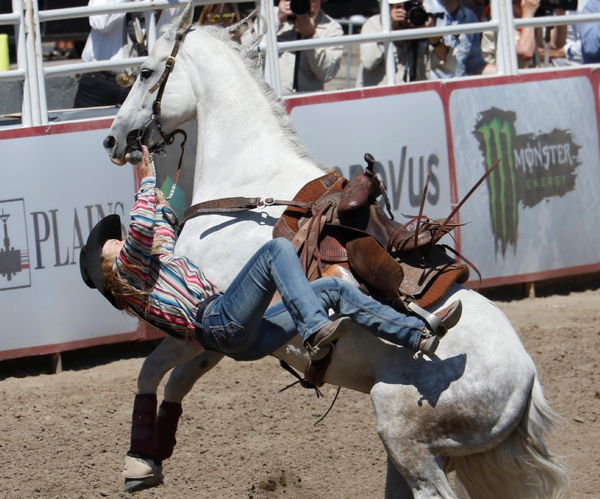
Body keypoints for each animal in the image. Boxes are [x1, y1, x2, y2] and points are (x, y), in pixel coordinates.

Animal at [102, 4, 568, 499]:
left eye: (145, 71)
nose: (113, 138)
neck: (245, 182)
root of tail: (526, 382)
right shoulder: (219, 335)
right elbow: (175, 376)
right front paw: (153, 455)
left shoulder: (205, 316)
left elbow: (151, 369)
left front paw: (139, 462)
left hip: (405, 437)